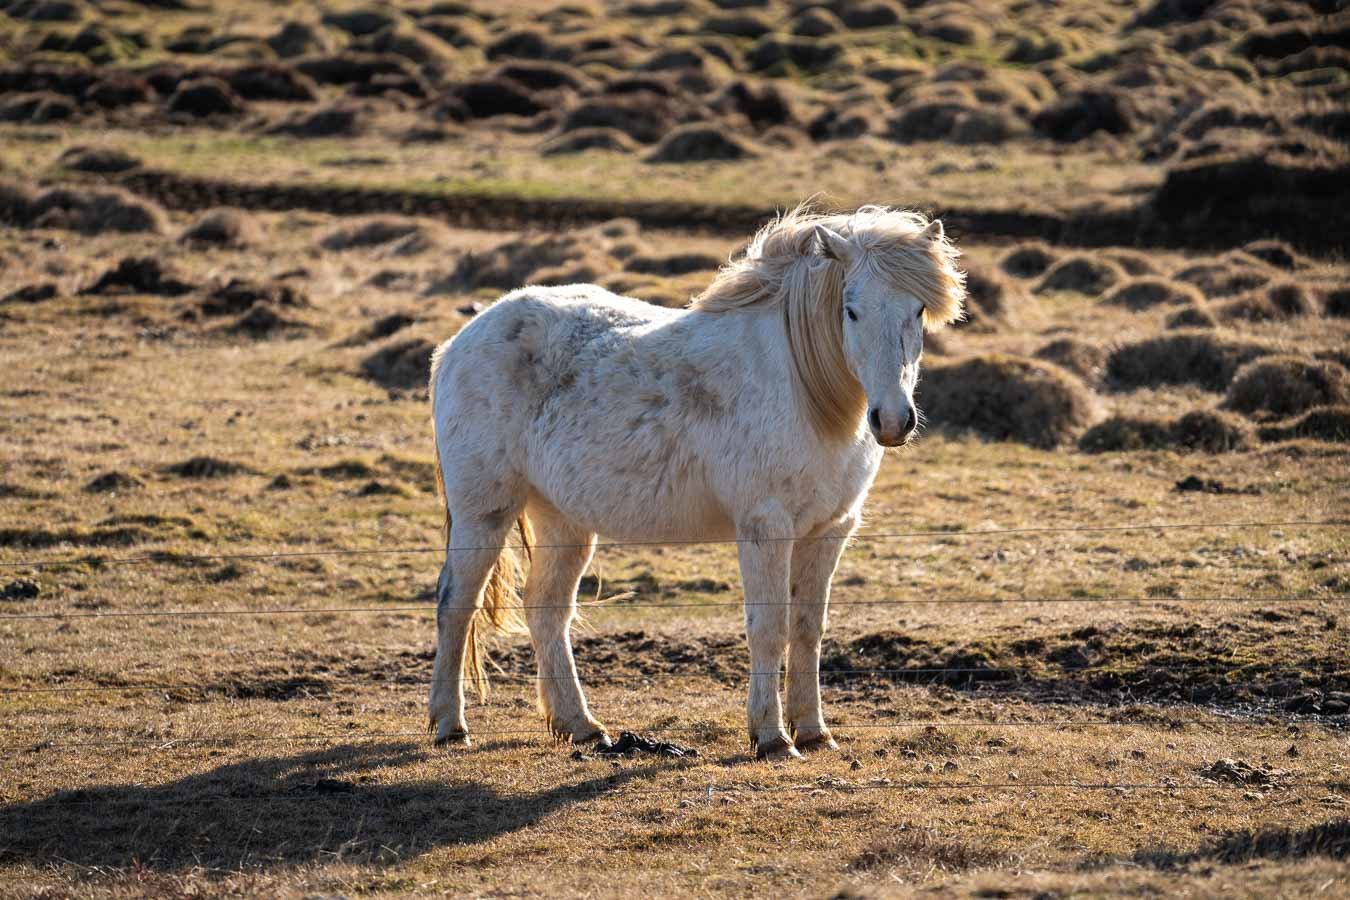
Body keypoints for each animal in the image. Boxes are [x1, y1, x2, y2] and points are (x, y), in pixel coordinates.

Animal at [427, 204, 966, 760]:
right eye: (852, 310)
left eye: (917, 311)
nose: (892, 421)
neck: (800, 389)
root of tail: (460, 343)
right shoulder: (766, 527)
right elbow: (769, 629)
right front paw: (772, 737)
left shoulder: (829, 530)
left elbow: (807, 629)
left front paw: (814, 731)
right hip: (484, 513)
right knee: (456, 604)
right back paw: (451, 725)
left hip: (563, 519)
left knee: (546, 610)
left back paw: (583, 726)